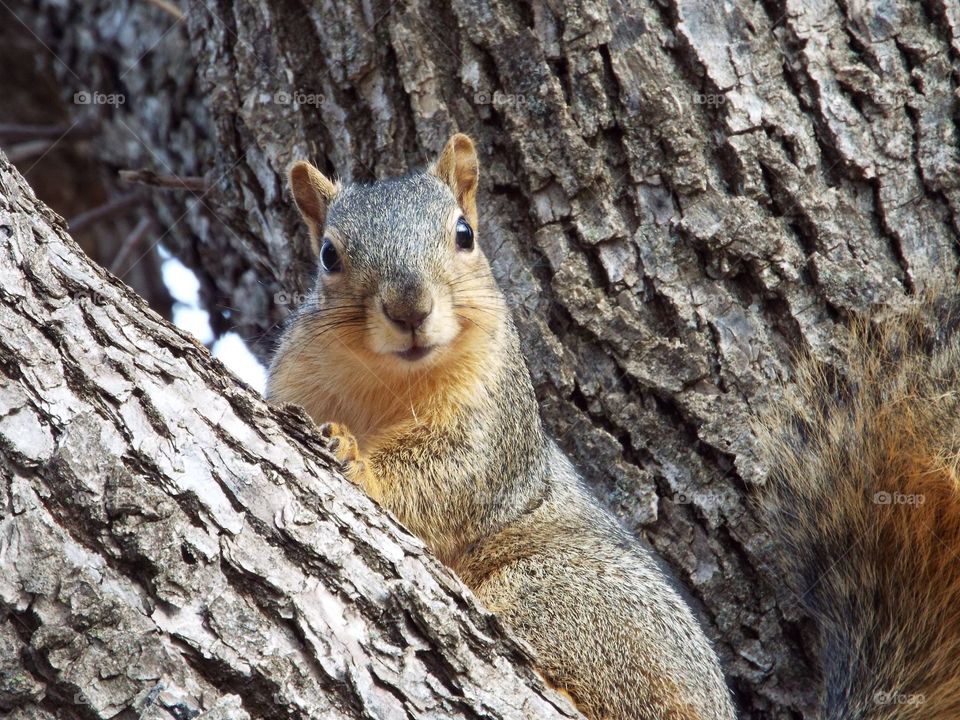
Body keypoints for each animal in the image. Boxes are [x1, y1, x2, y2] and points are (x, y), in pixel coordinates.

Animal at [267, 133, 736, 720]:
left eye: (464, 234)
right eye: (329, 255)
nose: (410, 309)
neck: (388, 377)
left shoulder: (493, 417)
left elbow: (449, 474)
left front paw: (355, 457)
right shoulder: (296, 380)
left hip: (565, 595)